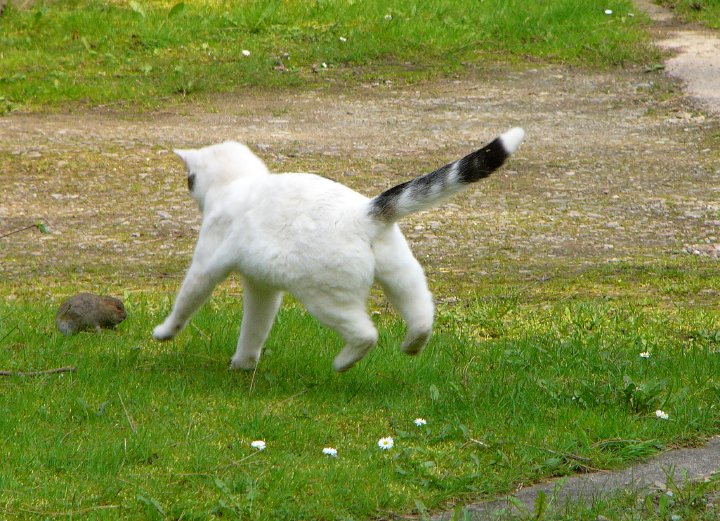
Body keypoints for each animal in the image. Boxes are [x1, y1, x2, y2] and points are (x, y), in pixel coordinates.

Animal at [153, 126, 524, 372]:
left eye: (189, 179)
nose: (188, 186)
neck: (239, 183)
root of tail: (365, 213)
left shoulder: (207, 264)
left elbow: (186, 302)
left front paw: (164, 332)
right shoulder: (263, 288)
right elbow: (254, 328)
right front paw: (244, 364)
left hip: (324, 298)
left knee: (367, 334)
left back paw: (343, 363)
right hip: (402, 276)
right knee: (422, 316)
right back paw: (411, 346)